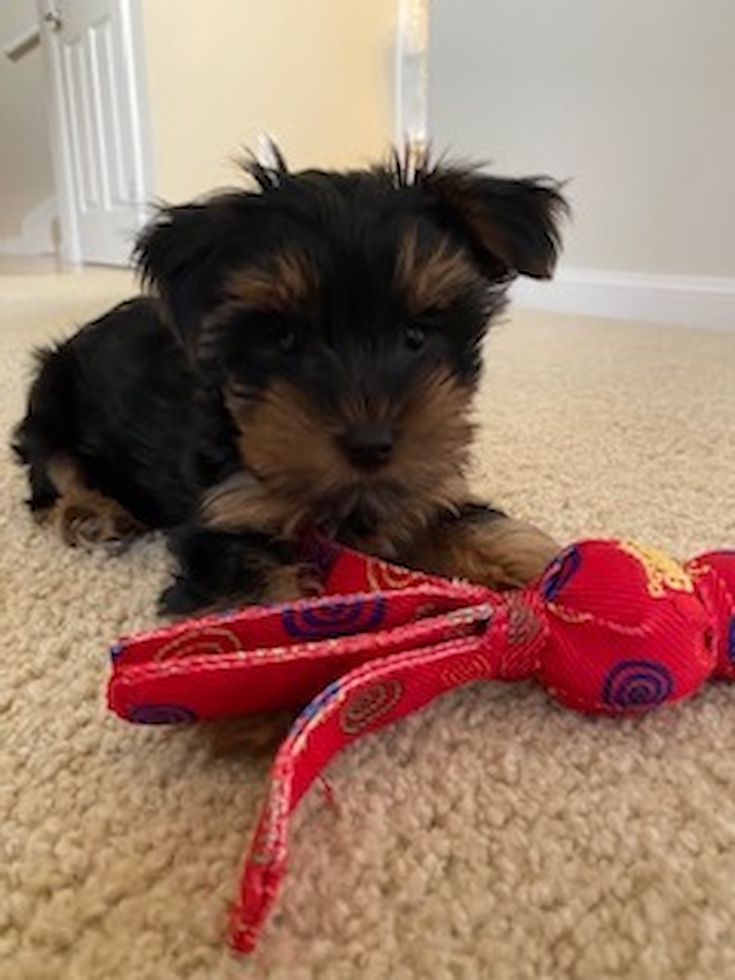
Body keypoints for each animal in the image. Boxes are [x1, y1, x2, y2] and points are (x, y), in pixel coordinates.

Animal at [12, 147, 568, 612]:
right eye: (284, 338)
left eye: (416, 334)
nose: (370, 445)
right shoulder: (226, 516)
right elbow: (259, 599)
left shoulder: (420, 489)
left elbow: (479, 526)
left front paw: (552, 573)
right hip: (52, 396)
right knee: (52, 470)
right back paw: (90, 513)